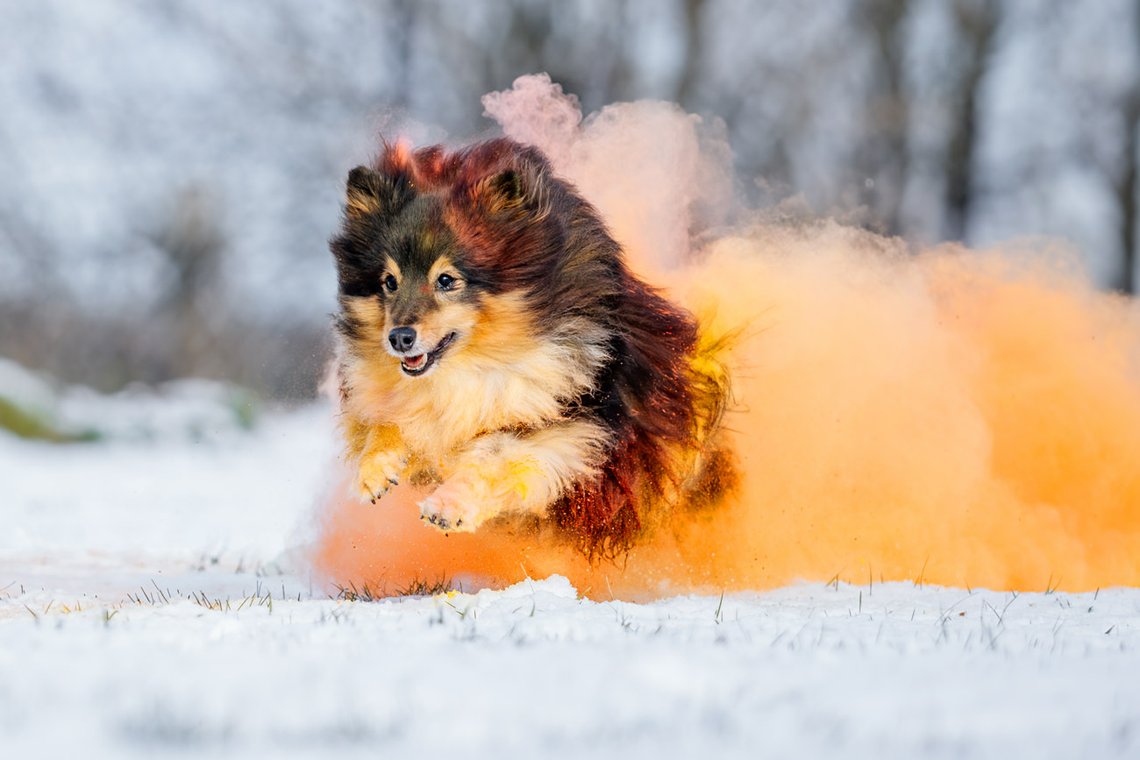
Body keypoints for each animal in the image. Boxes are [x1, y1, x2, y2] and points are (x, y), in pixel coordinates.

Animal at [332, 138, 738, 553]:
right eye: (389, 282)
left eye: (446, 280)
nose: (399, 337)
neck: (476, 365)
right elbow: (386, 421)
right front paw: (374, 472)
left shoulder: (569, 424)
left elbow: (493, 455)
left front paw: (447, 506)